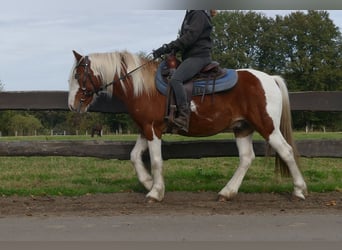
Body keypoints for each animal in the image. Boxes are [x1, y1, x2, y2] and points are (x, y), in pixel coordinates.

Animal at [67, 49, 308, 202]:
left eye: (78, 74)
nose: (72, 105)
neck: (143, 87)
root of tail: (269, 79)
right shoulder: (146, 129)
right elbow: (134, 156)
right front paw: (148, 182)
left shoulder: (153, 130)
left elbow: (156, 161)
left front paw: (155, 192)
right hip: (242, 128)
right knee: (246, 158)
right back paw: (227, 192)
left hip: (267, 127)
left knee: (286, 152)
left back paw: (299, 190)